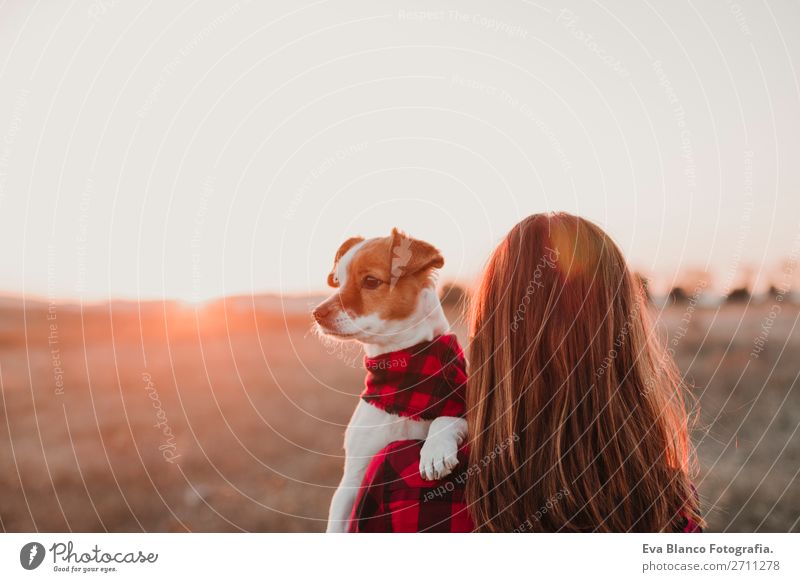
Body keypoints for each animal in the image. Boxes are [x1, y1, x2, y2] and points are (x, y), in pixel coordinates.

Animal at [314, 228, 468, 532]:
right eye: (338, 281)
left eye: (371, 281)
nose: (316, 313)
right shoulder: (352, 480)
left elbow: (448, 418)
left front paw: (434, 451)